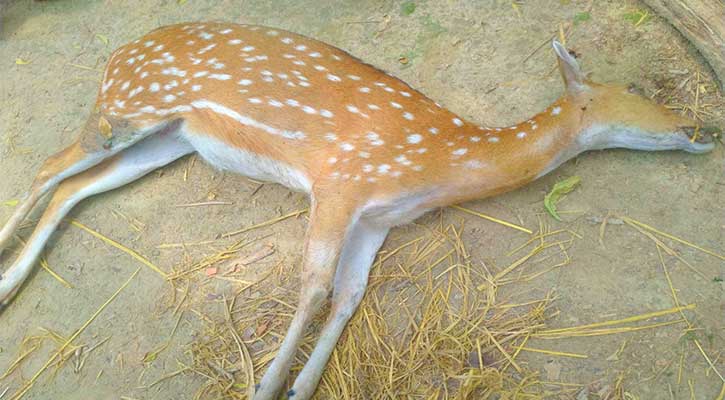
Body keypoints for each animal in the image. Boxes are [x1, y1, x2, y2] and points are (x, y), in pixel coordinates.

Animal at [0, 22, 712, 400]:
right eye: (635, 91)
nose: (699, 128)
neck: (438, 162)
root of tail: (116, 55)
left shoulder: (376, 220)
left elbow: (347, 296)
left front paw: (300, 387)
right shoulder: (340, 182)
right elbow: (314, 287)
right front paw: (265, 387)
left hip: (170, 139)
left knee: (74, 188)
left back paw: (12, 279)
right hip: (128, 108)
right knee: (46, 168)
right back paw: (6, 282)